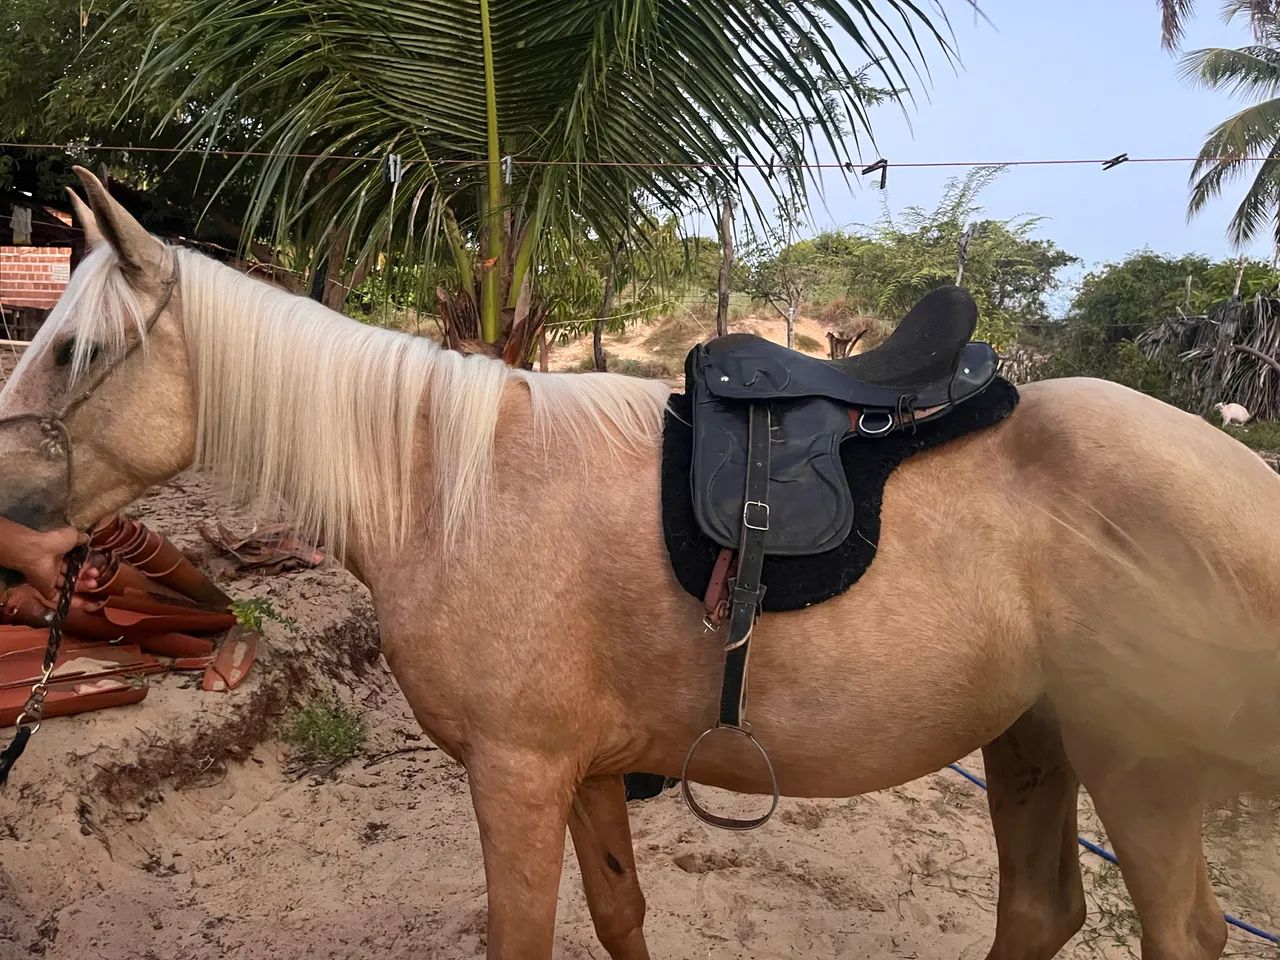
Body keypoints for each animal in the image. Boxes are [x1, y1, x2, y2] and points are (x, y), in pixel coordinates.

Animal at [0, 166, 1276, 960]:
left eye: (79, 352)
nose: (11, 510)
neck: (455, 491)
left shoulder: (515, 778)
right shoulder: (588, 774)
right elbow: (621, 914)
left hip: (1140, 773)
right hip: (1030, 739)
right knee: (1039, 913)